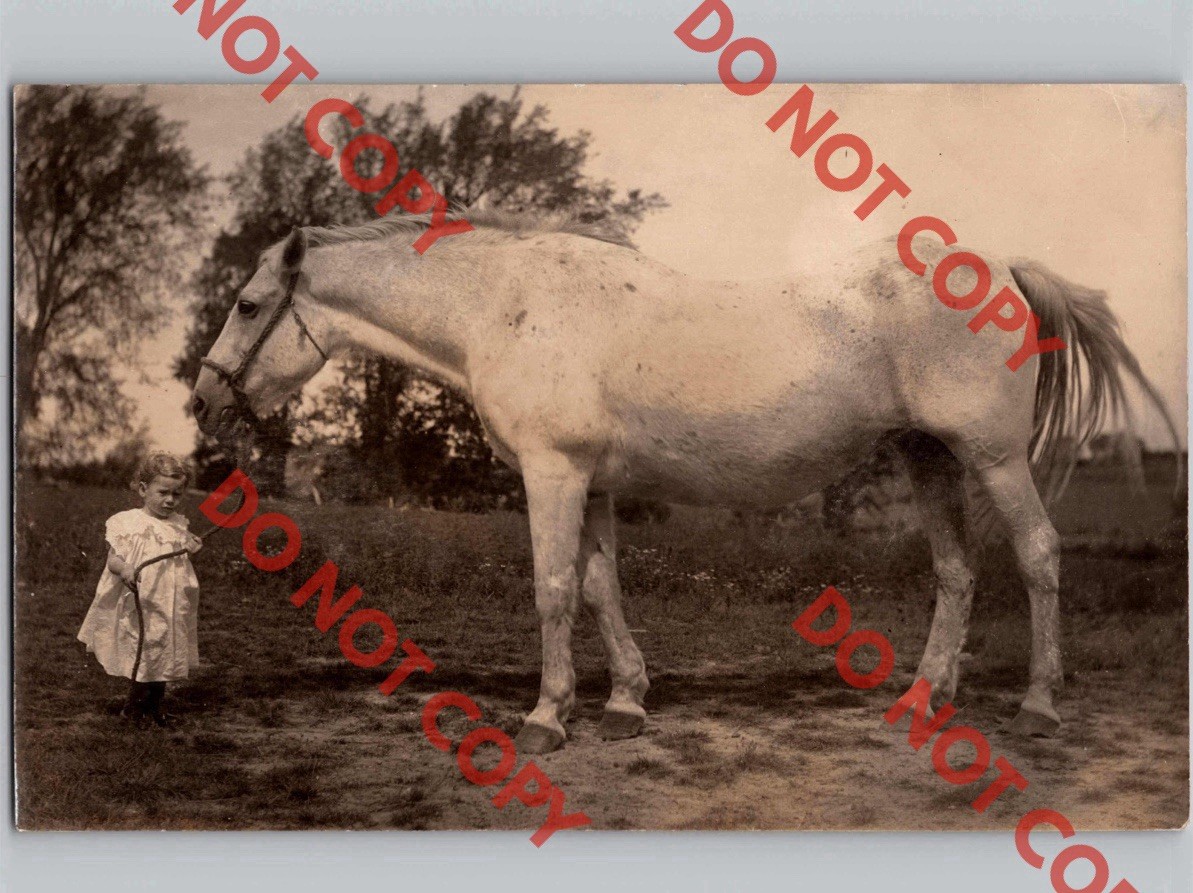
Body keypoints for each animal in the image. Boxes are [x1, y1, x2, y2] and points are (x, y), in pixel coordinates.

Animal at [190, 209, 1179, 754]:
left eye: (247, 304)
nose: (201, 399)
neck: (508, 306)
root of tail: (1002, 264)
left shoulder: (553, 476)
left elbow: (553, 590)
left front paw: (546, 718)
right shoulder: (590, 484)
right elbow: (600, 587)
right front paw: (624, 701)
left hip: (992, 458)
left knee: (1039, 554)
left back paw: (1040, 703)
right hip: (927, 455)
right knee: (956, 574)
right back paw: (920, 698)